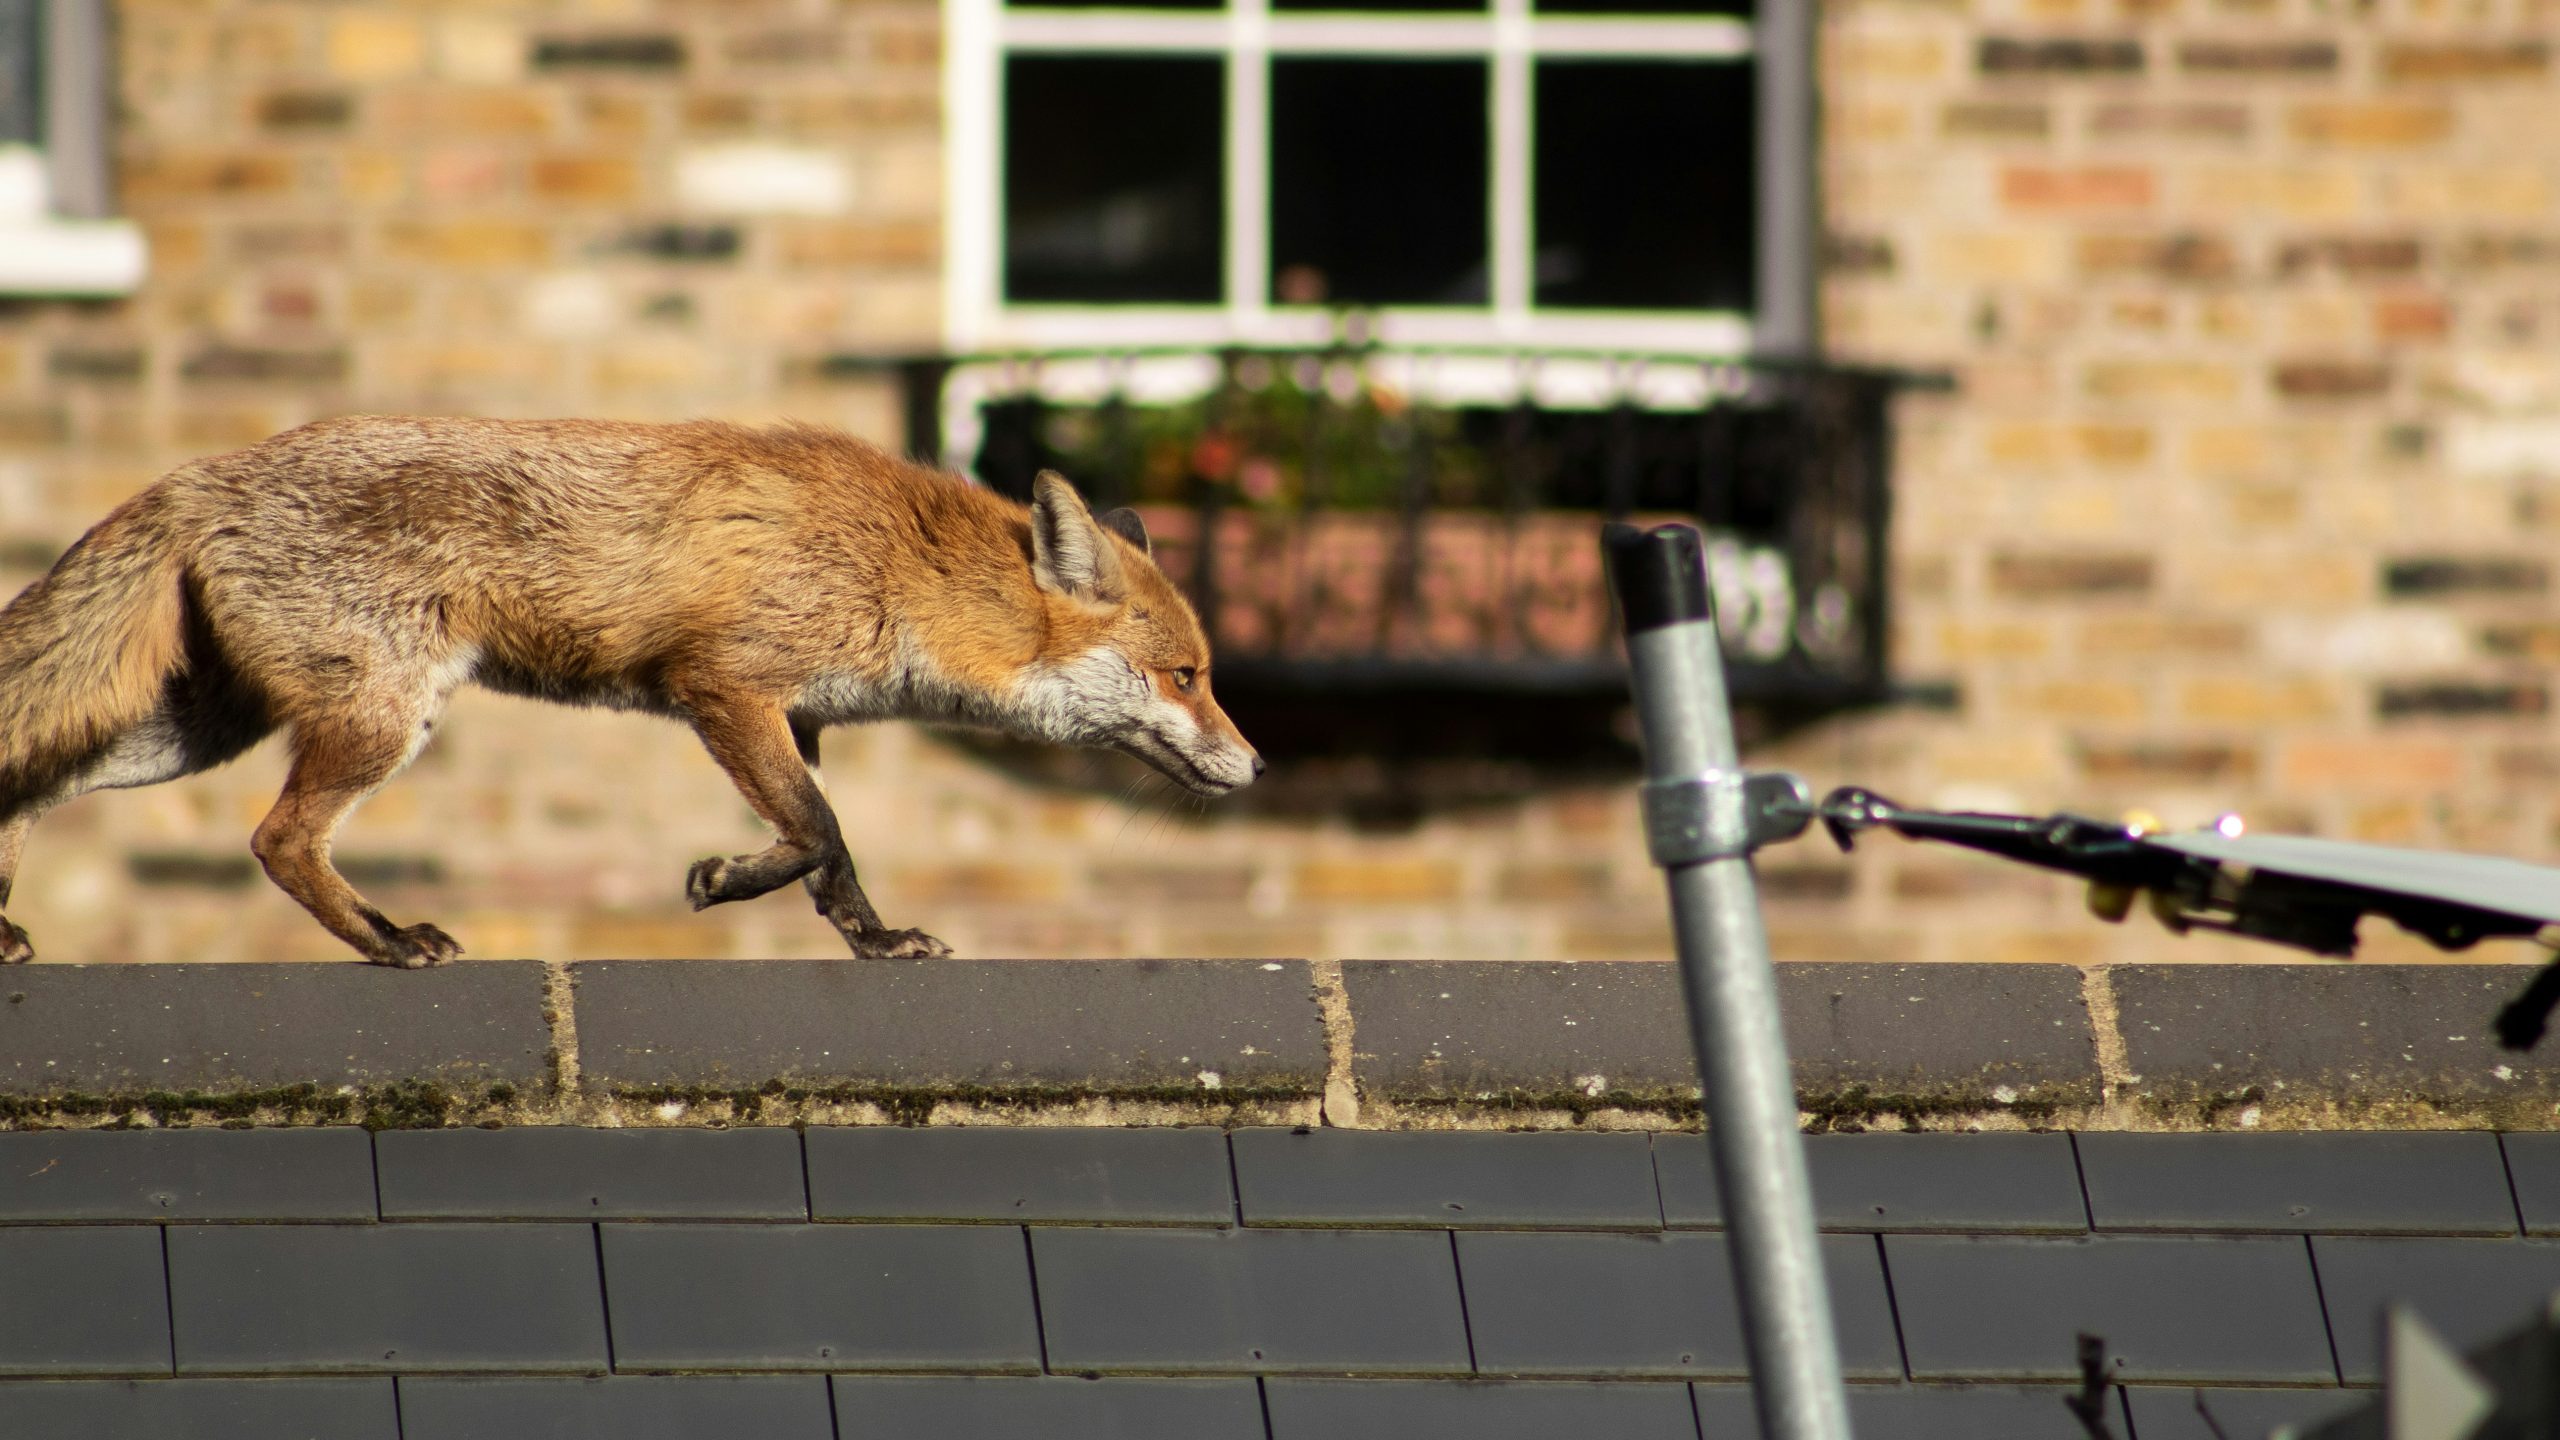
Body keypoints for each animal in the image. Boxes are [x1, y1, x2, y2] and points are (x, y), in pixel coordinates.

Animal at [0, 415, 1261, 968]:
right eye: (1188, 675)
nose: (1255, 767)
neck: (902, 569)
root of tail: (196, 473)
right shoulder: (724, 686)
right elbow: (817, 830)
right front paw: (737, 883)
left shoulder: (797, 716)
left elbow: (826, 850)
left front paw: (861, 933)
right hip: (378, 719)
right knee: (278, 840)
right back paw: (389, 942)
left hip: (194, 728)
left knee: (28, 785)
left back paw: (8, 931)